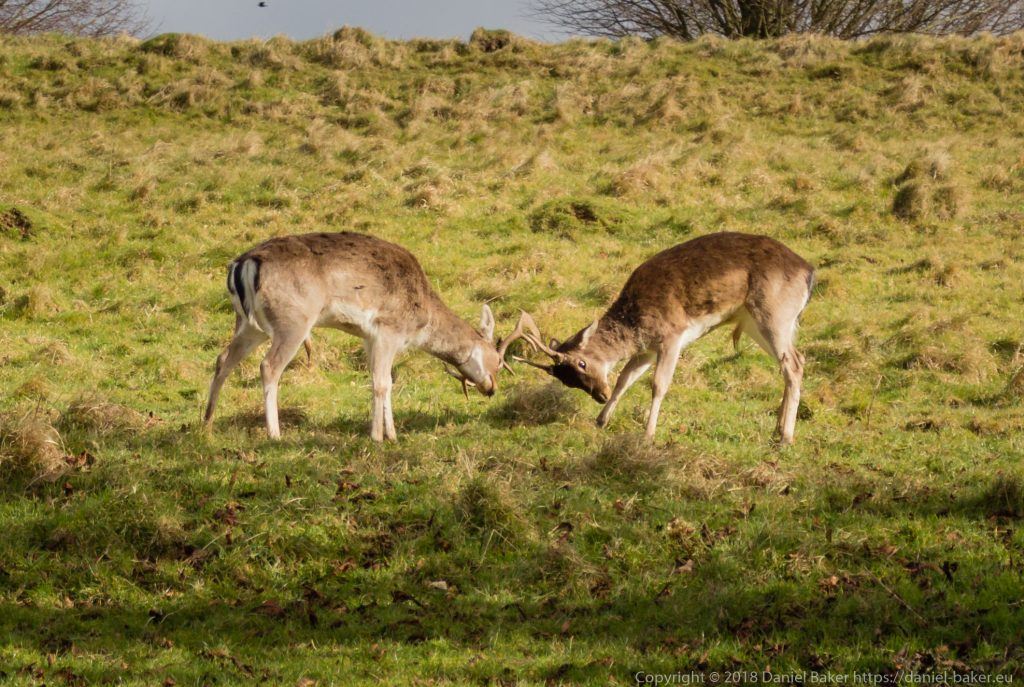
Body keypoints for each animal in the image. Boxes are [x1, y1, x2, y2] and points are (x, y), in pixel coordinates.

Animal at [202, 232, 532, 442]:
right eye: (498, 361)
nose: (491, 388)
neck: (420, 320)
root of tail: (242, 264)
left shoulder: (368, 338)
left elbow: (386, 382)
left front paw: (392, 435)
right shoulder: (388, 330)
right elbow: (381, 383)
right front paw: (377, 437)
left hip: (250, 325)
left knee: (223, 359)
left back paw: (206, 422)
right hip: (293, 321)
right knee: (268, 366)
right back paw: (274, 434)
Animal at [514, 232, 815, 444]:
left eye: (581, 364)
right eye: (567, 381)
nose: (600, 395)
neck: (636, 321)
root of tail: (809, 272)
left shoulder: (672, 336)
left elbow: (659, 384)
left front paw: (648, 435)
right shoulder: (647, 348)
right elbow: (625, 378)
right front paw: (601, 420)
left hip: (773, 314)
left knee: (794, 364)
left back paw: (786, 437)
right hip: (757, 322)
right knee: (795, 361)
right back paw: (777, 429)